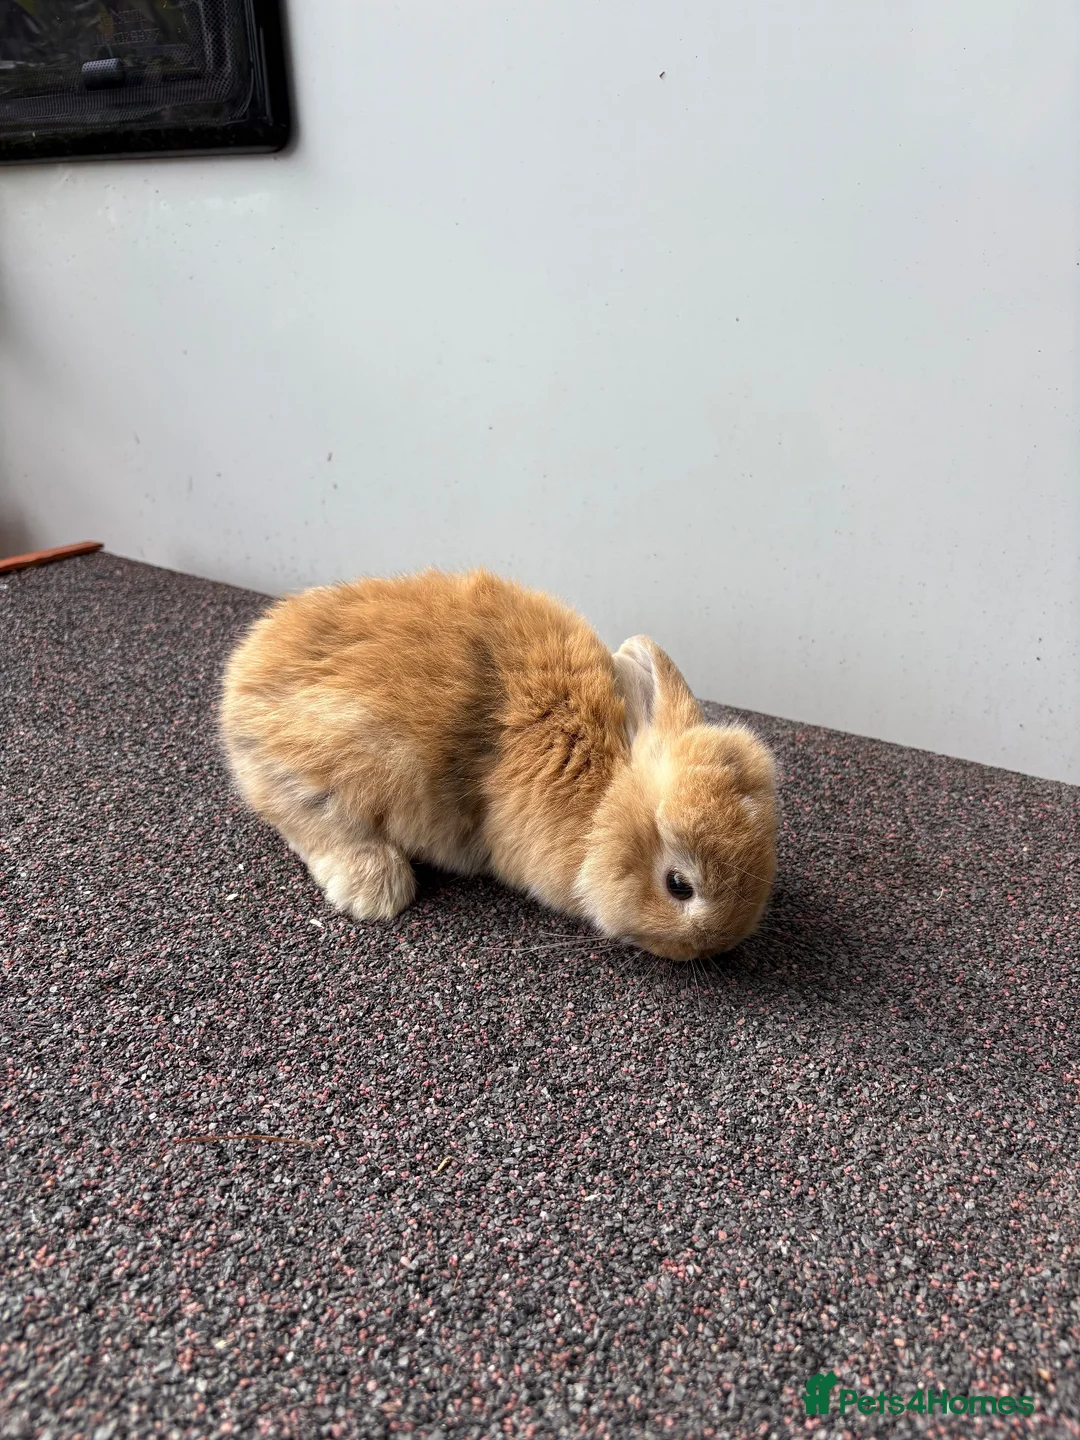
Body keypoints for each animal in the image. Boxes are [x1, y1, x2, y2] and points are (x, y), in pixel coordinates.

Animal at [219, 568, 777, 960]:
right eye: (678, 885)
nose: (715, 946)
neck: (603, 797)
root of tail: (239, 681)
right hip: (349, 765)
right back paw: (375, 888)